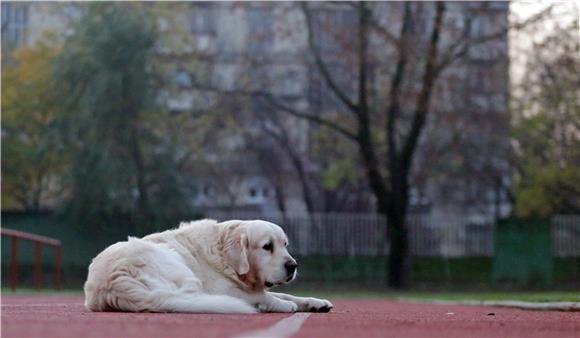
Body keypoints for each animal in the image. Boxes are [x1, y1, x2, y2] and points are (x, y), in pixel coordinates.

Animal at [84, 219, 334, 314]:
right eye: (267, 246)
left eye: (285, 245)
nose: (293, 265)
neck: (225, 258)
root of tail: (113, 283)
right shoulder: (225, 289)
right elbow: (267, 296)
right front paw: (282, 305)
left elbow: (286, 294)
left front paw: (315, 303)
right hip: (173, 261)